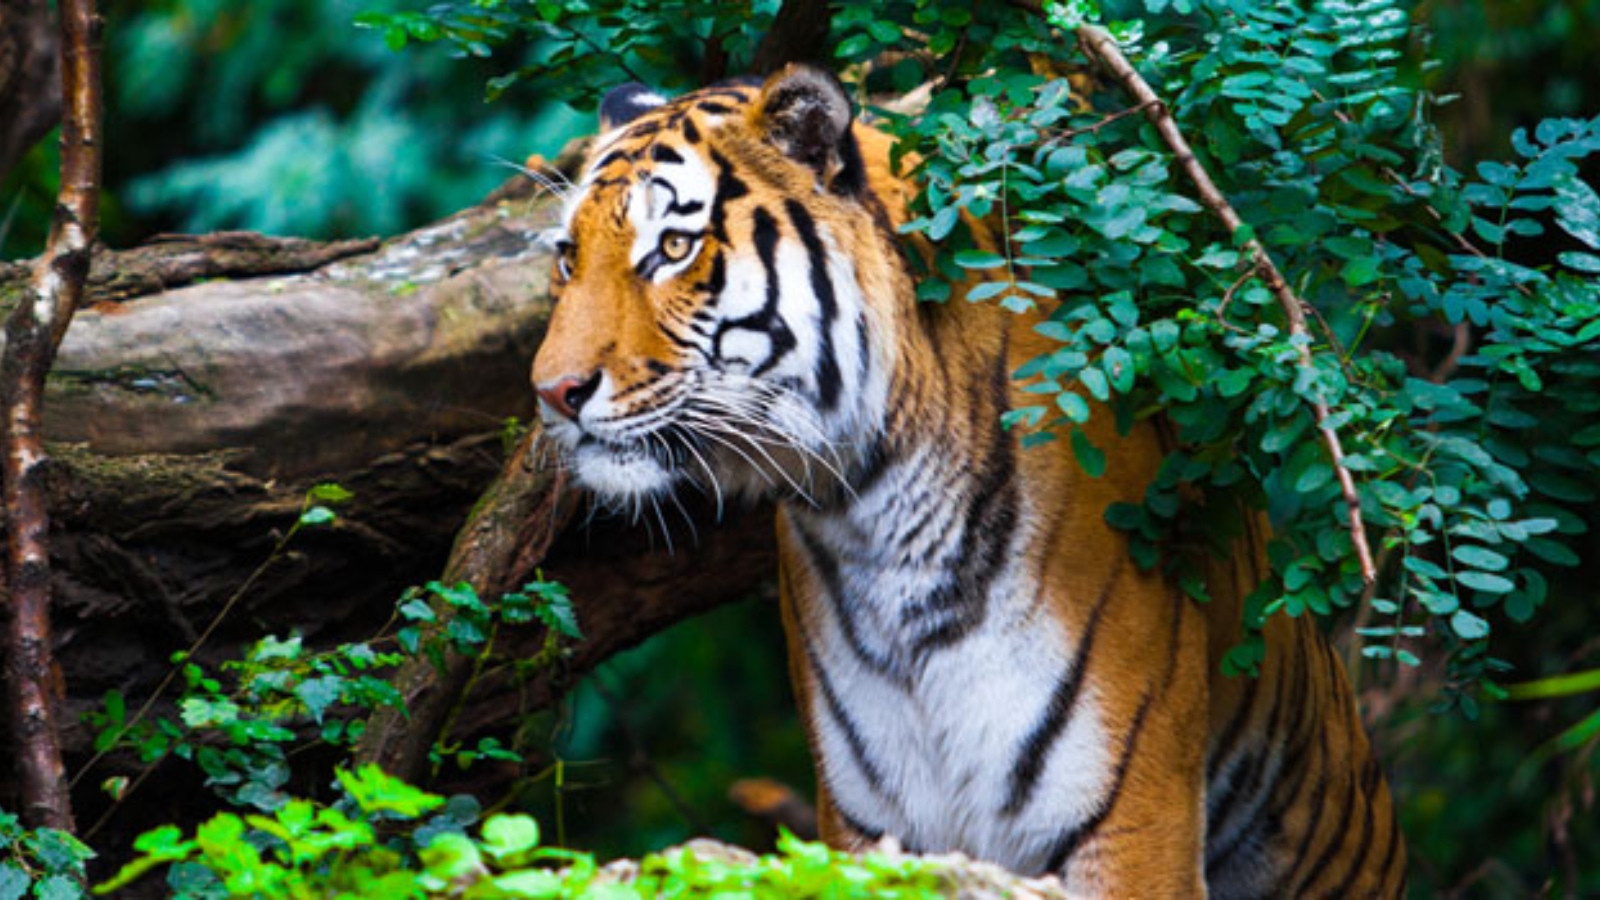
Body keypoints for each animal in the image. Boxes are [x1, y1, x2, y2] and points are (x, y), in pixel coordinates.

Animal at [529, 64, 1406, 898]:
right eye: (569, 257)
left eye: (674, 249)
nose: (552, 392)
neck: (873, 516)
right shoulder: (868, 825)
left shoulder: (1131, 820)